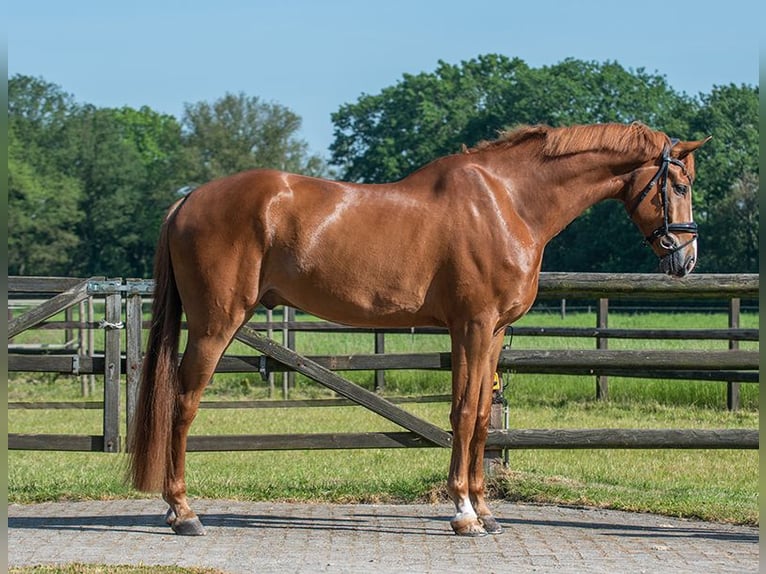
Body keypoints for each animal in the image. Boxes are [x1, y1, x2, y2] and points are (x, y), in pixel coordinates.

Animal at [129, 122, 712, 540]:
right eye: (679, 185)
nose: (685, 260)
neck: (508, 201)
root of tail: (188, 200)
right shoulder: (472, 326)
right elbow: (462, 413)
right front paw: (464, 513)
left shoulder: (491, 332)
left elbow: (481, 417)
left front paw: (485, 510)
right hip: (215, 324)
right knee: (183, 404)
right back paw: (183, 512)